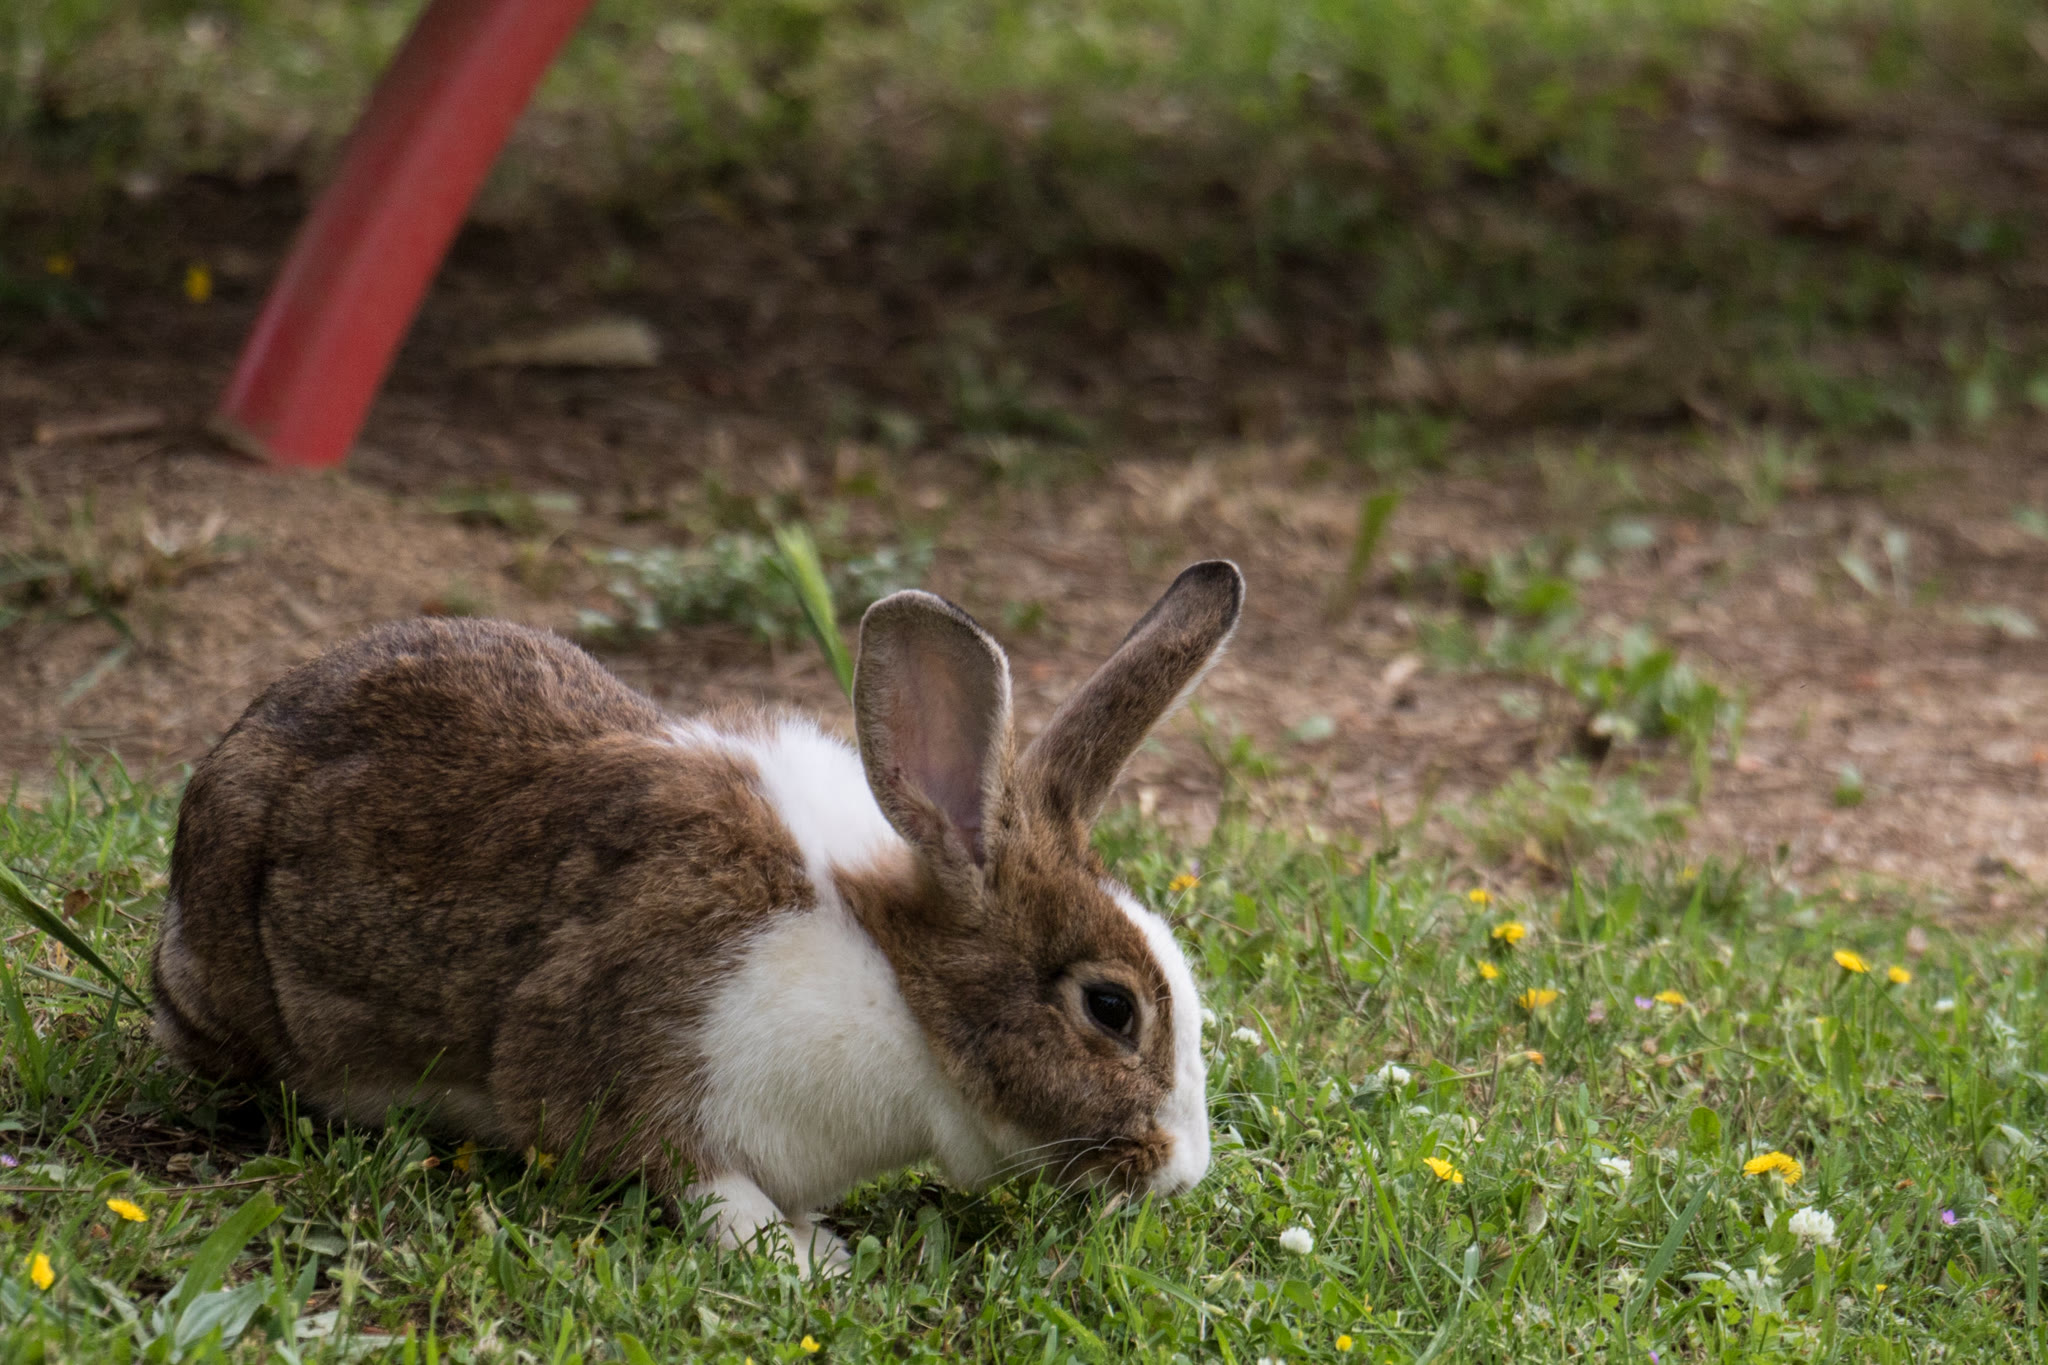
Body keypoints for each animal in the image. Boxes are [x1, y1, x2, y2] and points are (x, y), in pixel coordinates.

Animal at [152, 561, 1242, 1275]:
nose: (1182, 1171)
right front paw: (809, 1265)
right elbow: (705, 1188)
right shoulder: (625, 1058)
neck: (892, 982)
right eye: (1110, 1009)